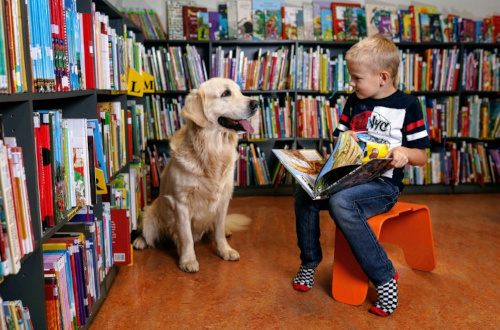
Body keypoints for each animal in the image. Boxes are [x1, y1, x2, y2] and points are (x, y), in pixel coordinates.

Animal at [133, 78, 258, 274]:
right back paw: (139, 241)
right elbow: (186, 237)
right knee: (146, 233)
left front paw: (225, 250)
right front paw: (188, 260)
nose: (256, 103)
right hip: (149, 215)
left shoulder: (223, 200)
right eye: (226, 93)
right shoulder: (181, 203)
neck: (212, 150)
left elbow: (219, 230)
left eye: (239, 91)